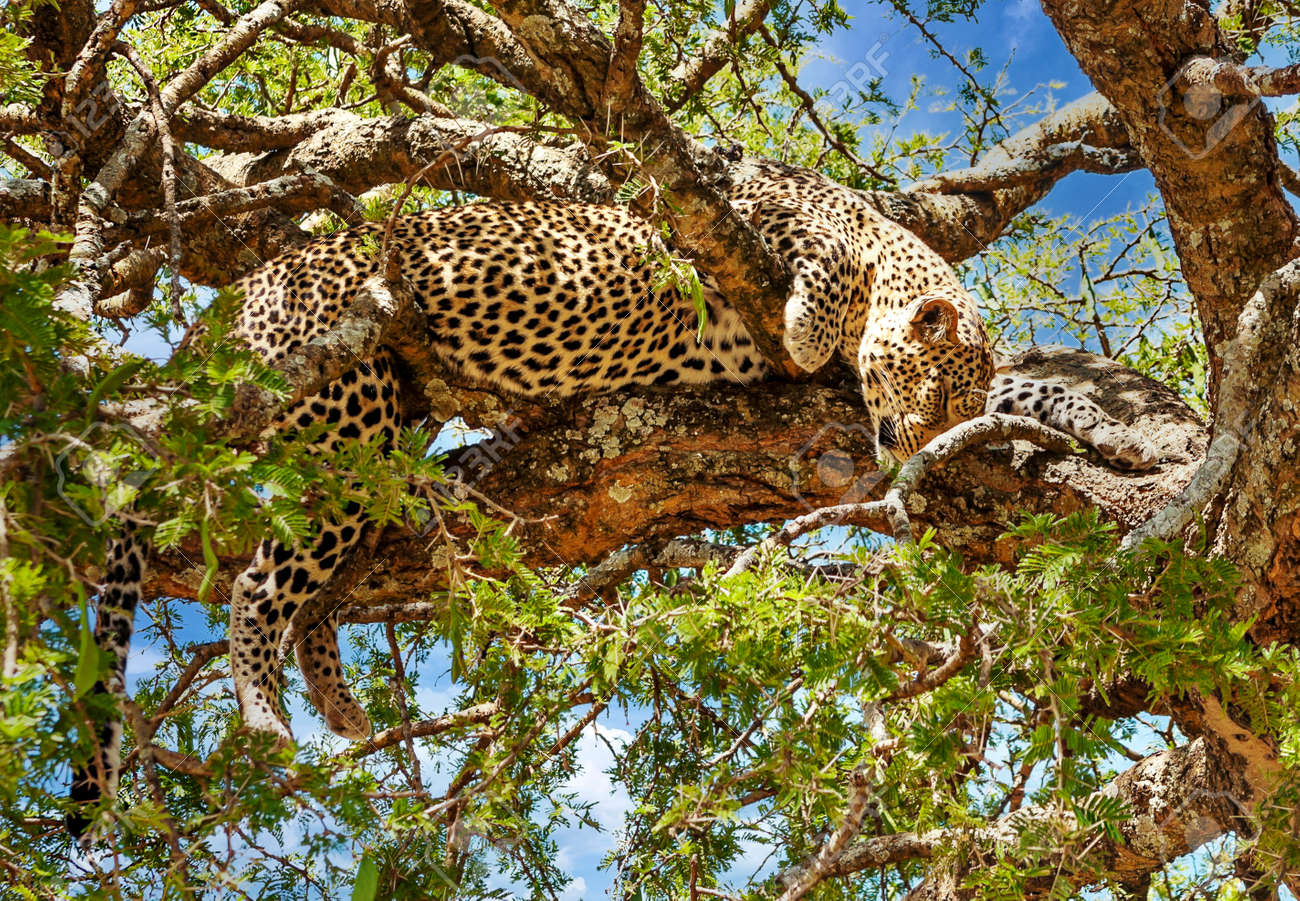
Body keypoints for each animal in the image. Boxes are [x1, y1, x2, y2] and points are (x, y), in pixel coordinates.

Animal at [66, 157, 1159, 839]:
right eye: (936, 394)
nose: (925, 446)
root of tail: (226, 307)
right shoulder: (748, 215)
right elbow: (813, 264)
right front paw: (812, 323)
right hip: (345, 390)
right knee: (258, 583)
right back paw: (263, 715)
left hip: (378, 425)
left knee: (318, 574)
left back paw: (333, 699)